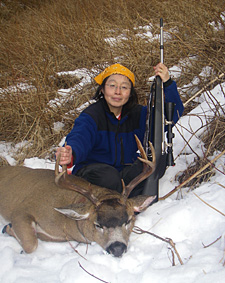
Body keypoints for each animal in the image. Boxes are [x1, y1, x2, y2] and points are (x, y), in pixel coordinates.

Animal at [0, 136, 155, 258]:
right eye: (97, 224)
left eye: (129, 220)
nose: (117, 249)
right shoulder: (22, 210)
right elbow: (31, 245)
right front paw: (8, 228)